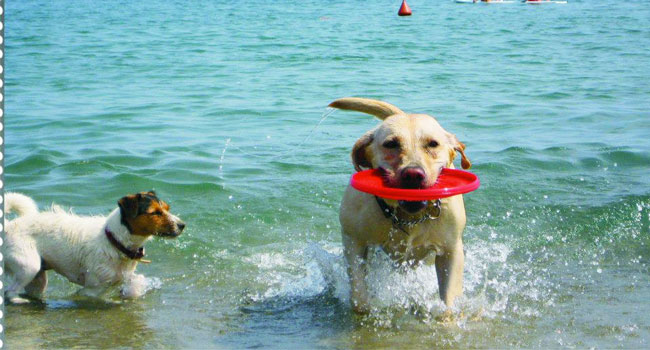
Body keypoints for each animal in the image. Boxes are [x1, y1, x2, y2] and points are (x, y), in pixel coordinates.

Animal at [3, 190, 184, 302]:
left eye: (167, 208)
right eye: (155, 212)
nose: (182, 225)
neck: (114, 240)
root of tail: (7, 226)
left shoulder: (122, 277)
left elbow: (133, 285)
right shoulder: (92, 289)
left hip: (38, 278)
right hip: (29, 267)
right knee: (9, 292)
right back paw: (19, 300)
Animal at [330, 97, 470, 314]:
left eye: (433, 144)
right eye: (391, 144)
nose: (413, 174)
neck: (408, 217)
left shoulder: (451, 250)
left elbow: (448, 300)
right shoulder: (353, 240)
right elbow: (359, 295)